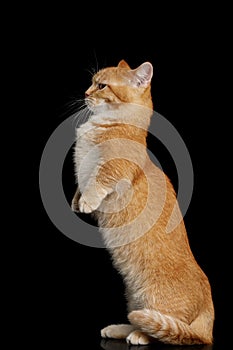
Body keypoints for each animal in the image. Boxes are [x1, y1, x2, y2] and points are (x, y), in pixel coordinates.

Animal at [71, 59, 215, 344]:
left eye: (101, 85)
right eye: (92, 82)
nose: (85, 93)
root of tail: (209, 307)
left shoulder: (115, 173)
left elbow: (98, 181)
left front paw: (87, 200)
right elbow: (82, 183)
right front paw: (76, 200)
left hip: (155, 301)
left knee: (166, 328)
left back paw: (139, 335)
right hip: (133, 296)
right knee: (137, 317)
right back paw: (117, 329)